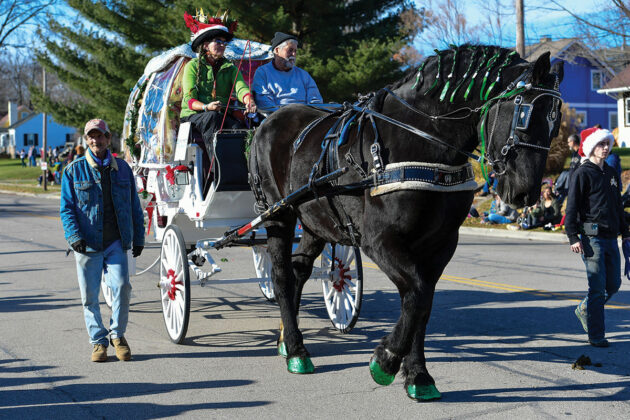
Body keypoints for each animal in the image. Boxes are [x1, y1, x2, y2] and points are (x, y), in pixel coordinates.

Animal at [249, 45, 564, 400]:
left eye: (556, 121)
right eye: (524, 113)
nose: (526, 192)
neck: (423, 144)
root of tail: (269, 120)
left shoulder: (441, 244)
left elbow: (422, 303)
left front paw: (418, 375)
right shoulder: (378, 240)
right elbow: (416, 293)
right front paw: (385, 360)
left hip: (316, 221)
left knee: (299, 271)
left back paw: (285, 339)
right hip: (278, 214)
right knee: (281, 277)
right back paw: (296, 350)